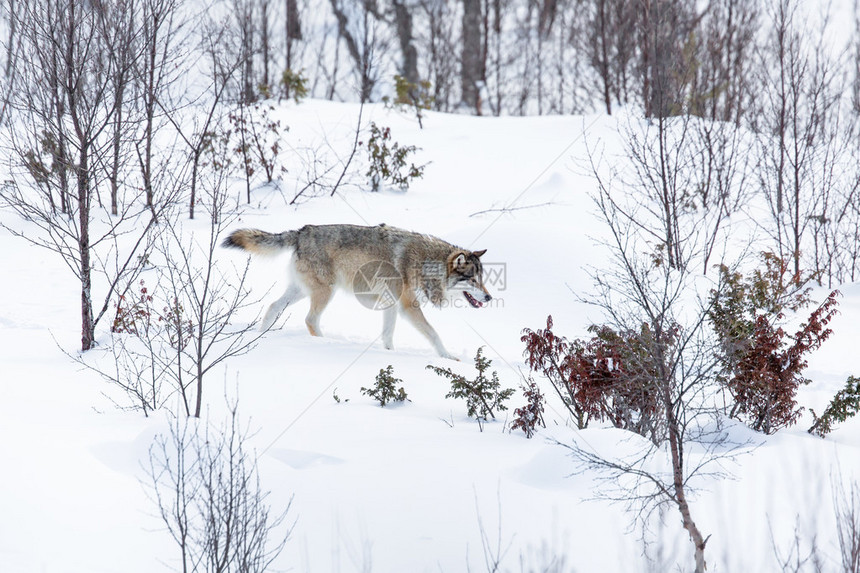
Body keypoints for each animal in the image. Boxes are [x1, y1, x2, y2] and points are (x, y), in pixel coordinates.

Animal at [222, 222, 494, 358]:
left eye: (482, 279)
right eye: (472, 280)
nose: (490, 297)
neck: (427, 262)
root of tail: (301, 231)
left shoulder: (392, 304)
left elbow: (387, 335)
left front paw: (390, 354)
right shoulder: (408, 306)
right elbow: (434, 334)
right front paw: (448, 358)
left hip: (301, 291)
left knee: (272, 307)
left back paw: (261, 336)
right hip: (325, 292)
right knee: (310, 319)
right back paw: (324, 343)